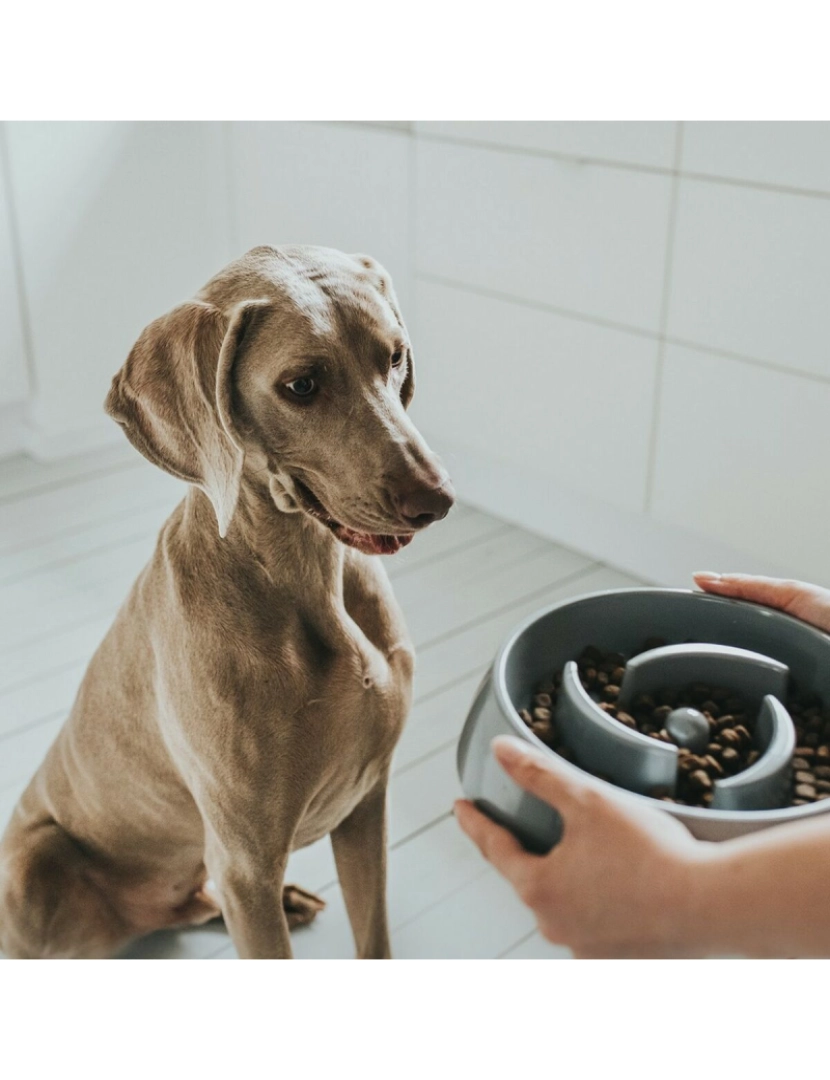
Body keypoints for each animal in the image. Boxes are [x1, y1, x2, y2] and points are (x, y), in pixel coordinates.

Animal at [0, 248, 453, 959]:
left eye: (396, 357)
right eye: (302, 385)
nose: (436, 499)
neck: (306, 575)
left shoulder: (365, 807)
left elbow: (374, 937)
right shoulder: (246, 864)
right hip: (33, 867)